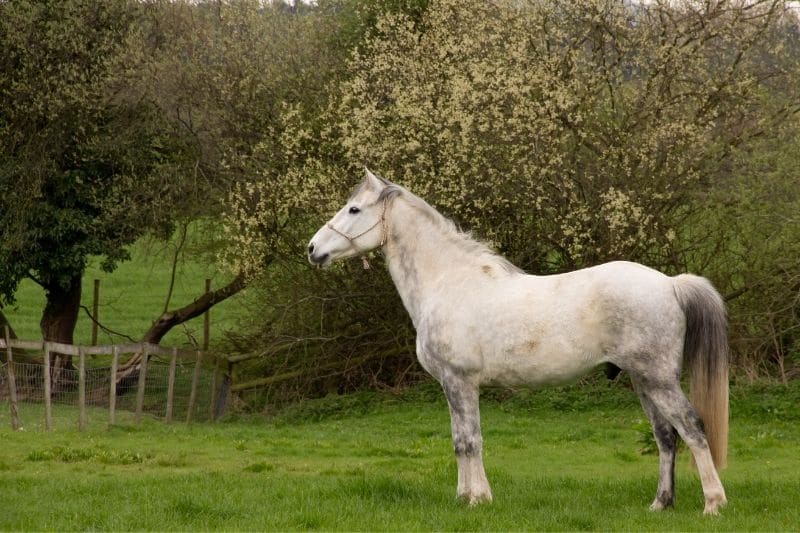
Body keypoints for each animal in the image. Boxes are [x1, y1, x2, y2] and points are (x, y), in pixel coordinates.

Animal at [308, 168, 732, 512]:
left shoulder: (460, 382)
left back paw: (713, 503)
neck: (449, 282)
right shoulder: (450, 385)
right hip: (643, 380)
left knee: (692, 427)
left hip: (657, 379)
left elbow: (470, 441)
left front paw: (478, 499)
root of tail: (671, 284)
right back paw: (660, 504)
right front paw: (464, 497)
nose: (313, 249)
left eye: (354, 210)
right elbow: (458, 439)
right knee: (665, 436)